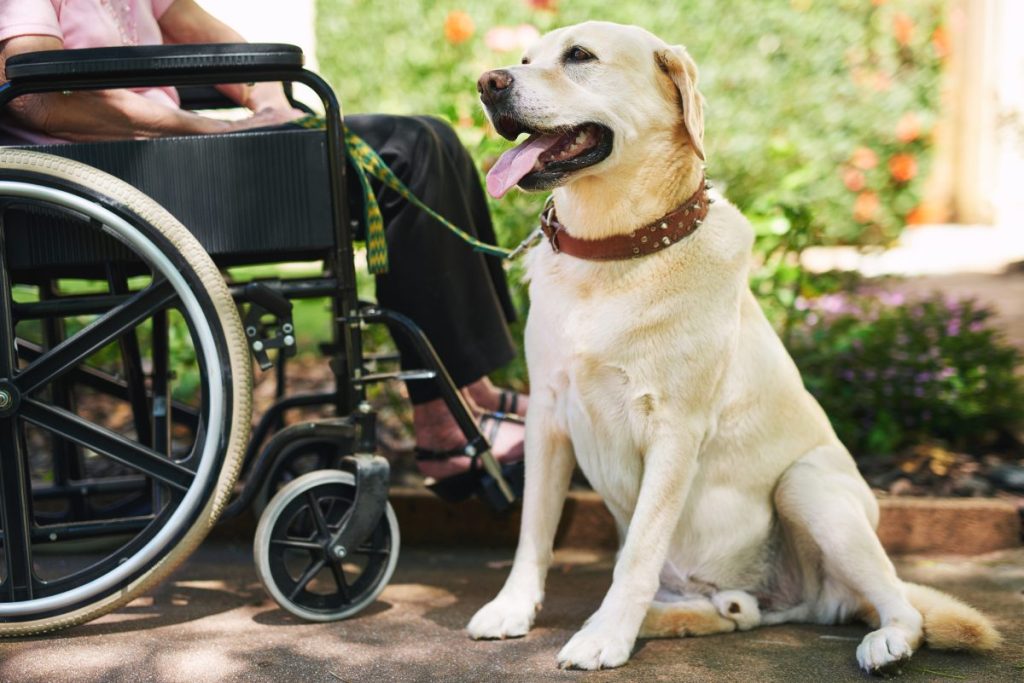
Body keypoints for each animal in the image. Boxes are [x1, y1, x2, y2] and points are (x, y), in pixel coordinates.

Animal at [468, 20, 1003, 671]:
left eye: (580, 56)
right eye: (524, 60)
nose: (488, 83)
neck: (615, 252)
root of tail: (805, 601)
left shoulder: (675, 430)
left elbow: (638, 551)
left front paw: (605, 637)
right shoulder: (546, 417)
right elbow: (534, 533)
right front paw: (514, 609)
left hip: (808, 488)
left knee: (901, 603)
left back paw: (888, 641)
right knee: (739, 613)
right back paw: (693, 614)